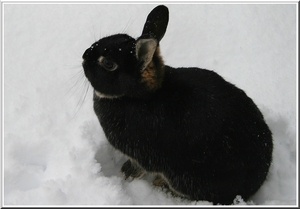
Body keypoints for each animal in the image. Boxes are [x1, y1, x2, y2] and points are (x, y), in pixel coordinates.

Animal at [81, 5, 272, 206]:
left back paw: (162, 186)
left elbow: (139, 166)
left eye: (108, 63)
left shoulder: (143, 155)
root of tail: (255, 183)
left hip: (186, 179)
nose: (84, 55)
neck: (139, 96)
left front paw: (126, 173)